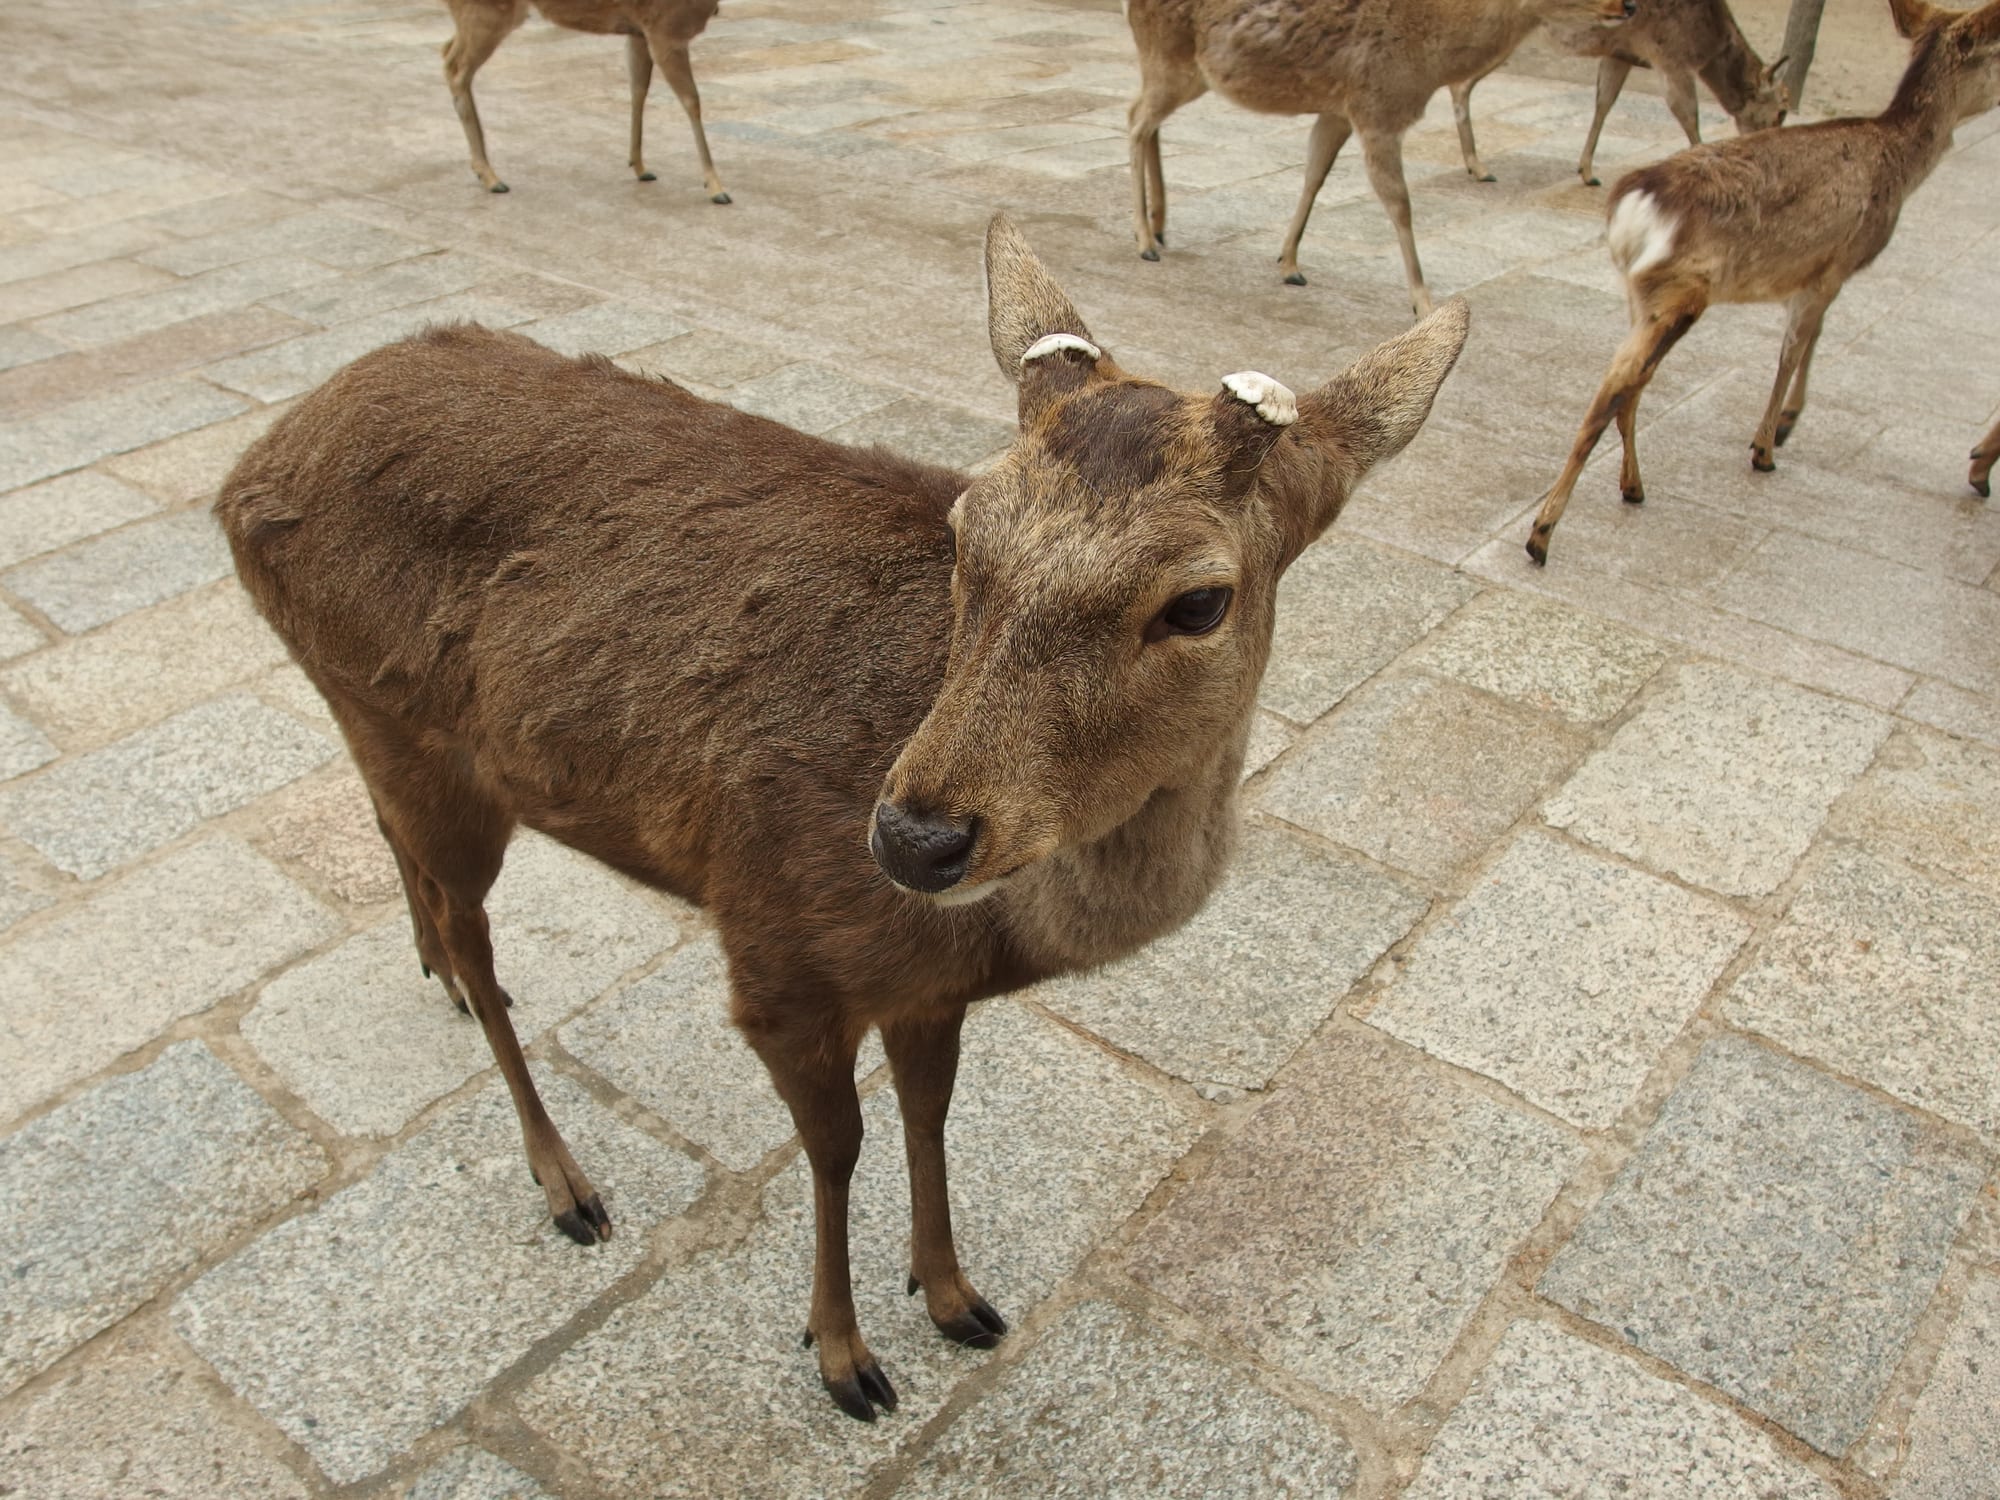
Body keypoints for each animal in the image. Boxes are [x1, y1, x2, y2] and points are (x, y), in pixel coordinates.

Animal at [214, 215, 1469, 1421]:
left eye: (1199, 601)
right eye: (962, 532)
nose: (914, 837)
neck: (991, 939)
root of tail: (244, 471)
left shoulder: (924, 990)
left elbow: (929, 1113)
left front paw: (953, 1294)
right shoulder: (776, 951)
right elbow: (836, 1148)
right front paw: (841, 1356)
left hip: (372, 723)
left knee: (401, 854)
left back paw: (437, 975)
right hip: (412, 733)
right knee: (472, 924)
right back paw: (564, 1179)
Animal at [439, 0, 729, 201]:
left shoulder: (639, 30)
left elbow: (638, 89)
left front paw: (639, 165)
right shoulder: (666, 29)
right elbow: (692, 101)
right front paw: (716, 187)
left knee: (447, 52)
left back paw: (484, 170)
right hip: (487, 13)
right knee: (456, 68)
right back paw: (490, 176)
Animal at [1123, 0, 1634, 315]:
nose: (1628, 6)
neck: (1431, 56)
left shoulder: (1339, 109)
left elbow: (1315, 175)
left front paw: (1289, 263)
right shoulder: (1378, 109)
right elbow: (1399, 203)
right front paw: (1423, 301)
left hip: (1181, 72)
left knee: (1144, 119)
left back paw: (1161, 223)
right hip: (1171, 60)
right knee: (1134, 120)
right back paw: (1146, 238)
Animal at [1445, 0, 1790, 189]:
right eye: (1782, 110)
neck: (1705, 46)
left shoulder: (1620, 54)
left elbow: (1604, 102)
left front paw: (1586, 172)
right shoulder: (1669, 57)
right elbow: (1688, 115)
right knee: (1459, 82)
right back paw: (1479, 167)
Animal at [1525, 0, 2000, 565]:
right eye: (1999, 54)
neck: (1899, 170)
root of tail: (1631, 204)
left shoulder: (1816, 273)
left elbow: (1810, 339)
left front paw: (1783, 428)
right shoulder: (1837, 262)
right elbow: (1796, 346)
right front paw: (1769, 444)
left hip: (1641, 295)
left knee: (1632, 385)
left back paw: (1632, 486)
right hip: (1684, 288)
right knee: (1616, 387)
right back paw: (1542, 533)